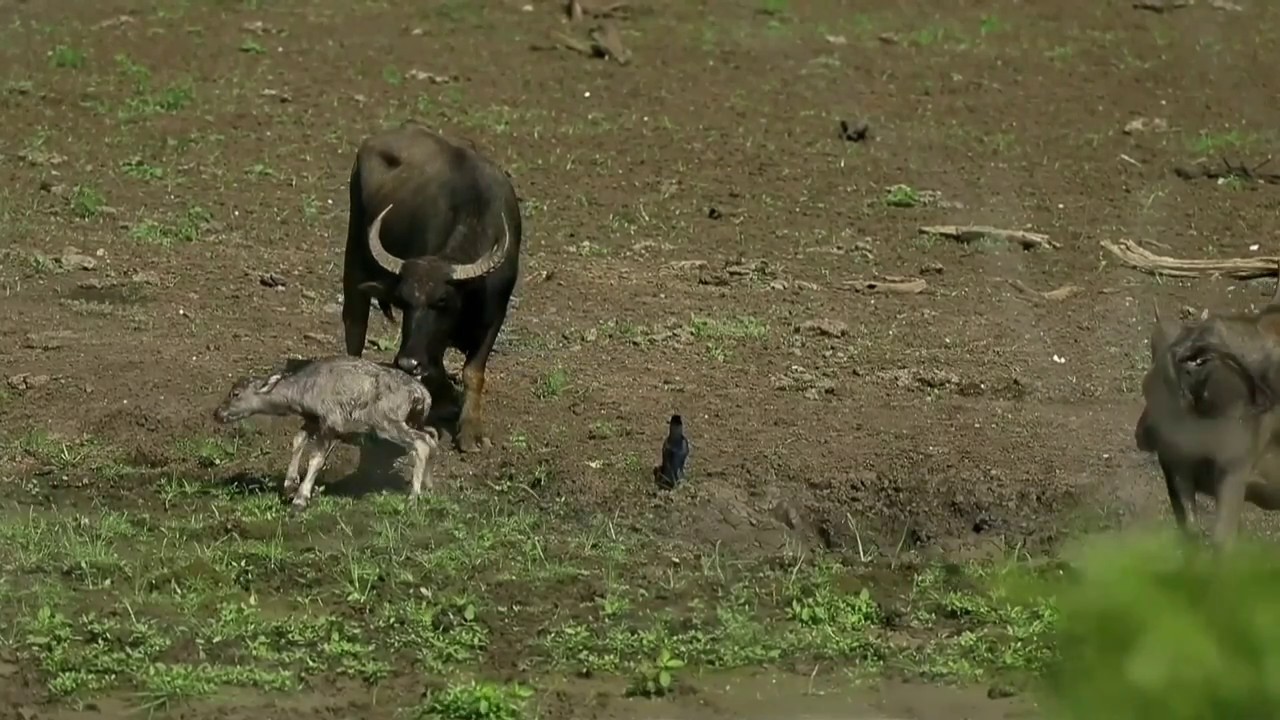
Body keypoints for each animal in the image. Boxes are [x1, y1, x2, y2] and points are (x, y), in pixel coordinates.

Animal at [340, 122, 521, 453]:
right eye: (404, 301)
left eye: (442, 301)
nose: (407, 362)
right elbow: (436, 367)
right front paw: (445, 404)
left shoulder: (494, 316)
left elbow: (473, 372)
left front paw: (471, 432)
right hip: (354, 252)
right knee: (355, 323)